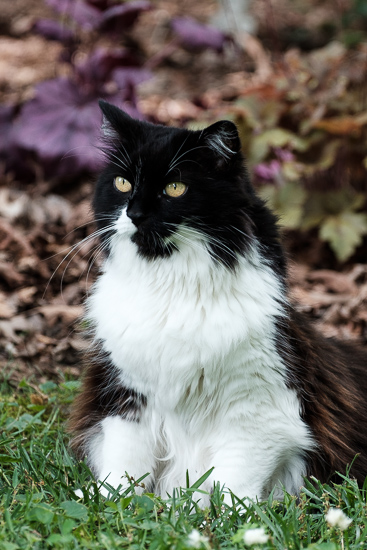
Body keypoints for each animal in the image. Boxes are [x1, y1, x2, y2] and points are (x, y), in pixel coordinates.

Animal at [69, 99, 367, 504]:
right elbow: (123, 471)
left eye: (175, 188)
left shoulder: (259, 409)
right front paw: (112, 505)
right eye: (122, 183)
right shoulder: (126, 396)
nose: (135, 214)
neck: (170, 289)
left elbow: (233, 487)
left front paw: (223, 518)